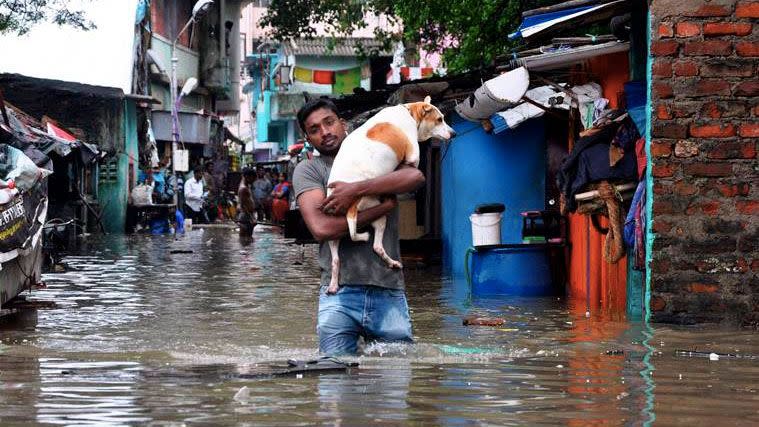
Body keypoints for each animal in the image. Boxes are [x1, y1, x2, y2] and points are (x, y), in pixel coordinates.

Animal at [326, 98, 454, 294]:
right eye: (439, 119)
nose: (454, 133)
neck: (410, 112)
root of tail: (351, 205)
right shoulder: (412, 159)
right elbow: (410, 163)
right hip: (377, 213)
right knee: (374, 245)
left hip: (337, 230)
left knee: (340, 258)